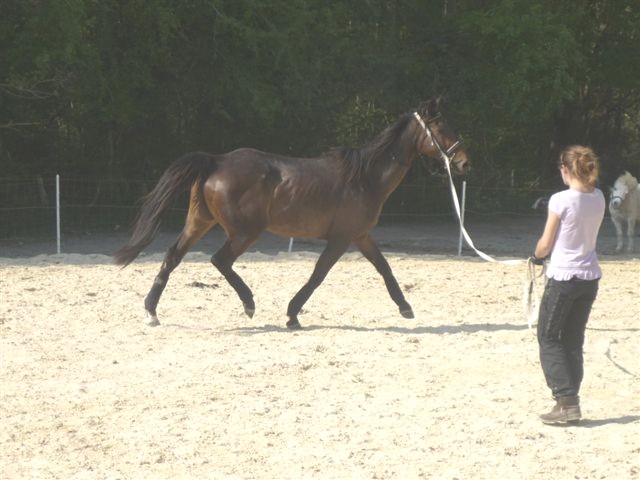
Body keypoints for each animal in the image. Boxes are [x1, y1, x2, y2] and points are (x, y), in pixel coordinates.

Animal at [112, 97, 468, 330]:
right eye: (441, 126)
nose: (464, 161)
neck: (365, 178)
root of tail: (216, 160)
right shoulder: (341, 239)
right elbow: (318, 275)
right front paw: (292, 314)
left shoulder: (361, 236)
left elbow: (385, 269)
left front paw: (406, 308)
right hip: (244, 232)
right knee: (219, 260)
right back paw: (249, 304)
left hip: (199, 222)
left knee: (172, 257)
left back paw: (151, 312)